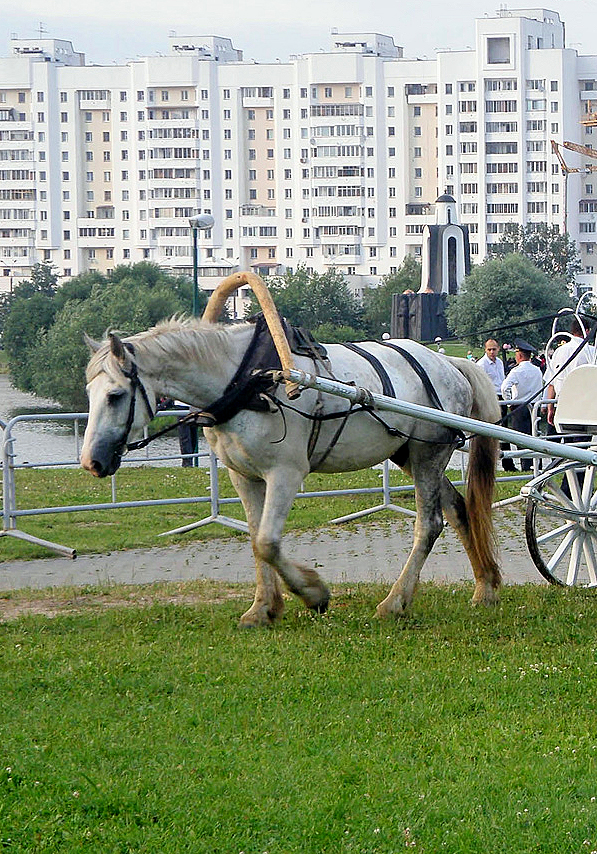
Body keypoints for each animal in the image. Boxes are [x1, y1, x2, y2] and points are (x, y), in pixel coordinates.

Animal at [81, 318, 500, 624]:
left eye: (115, 395)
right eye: (89, 394)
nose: (92, 461)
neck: (249, 380)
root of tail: (450, 363)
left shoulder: (285, 473)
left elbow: (268, 542)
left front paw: (313, 593)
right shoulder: (243, 476)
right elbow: (255, 541)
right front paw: (263, 608)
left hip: (429, 453)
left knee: (429, 524)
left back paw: (395, 601)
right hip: (410, 455)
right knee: (458, 510)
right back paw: (486, 586)